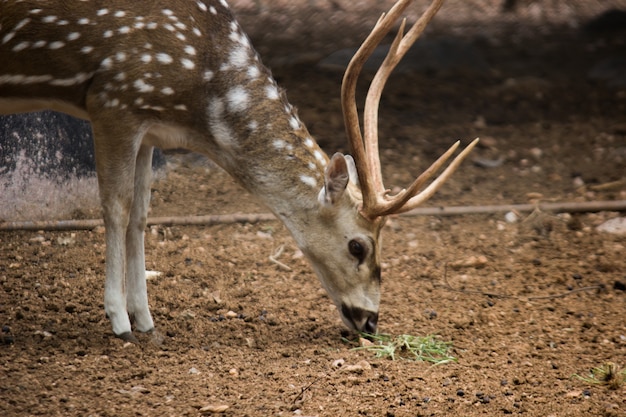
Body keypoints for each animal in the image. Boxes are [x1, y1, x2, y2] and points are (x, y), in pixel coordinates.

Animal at [0, 0, 472, 342]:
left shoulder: (148, 126)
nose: (371, 321)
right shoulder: (114, 99)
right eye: (358, 246)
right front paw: (119, 322)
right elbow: (116, 207)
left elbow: (141, 215)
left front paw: (146, 320)